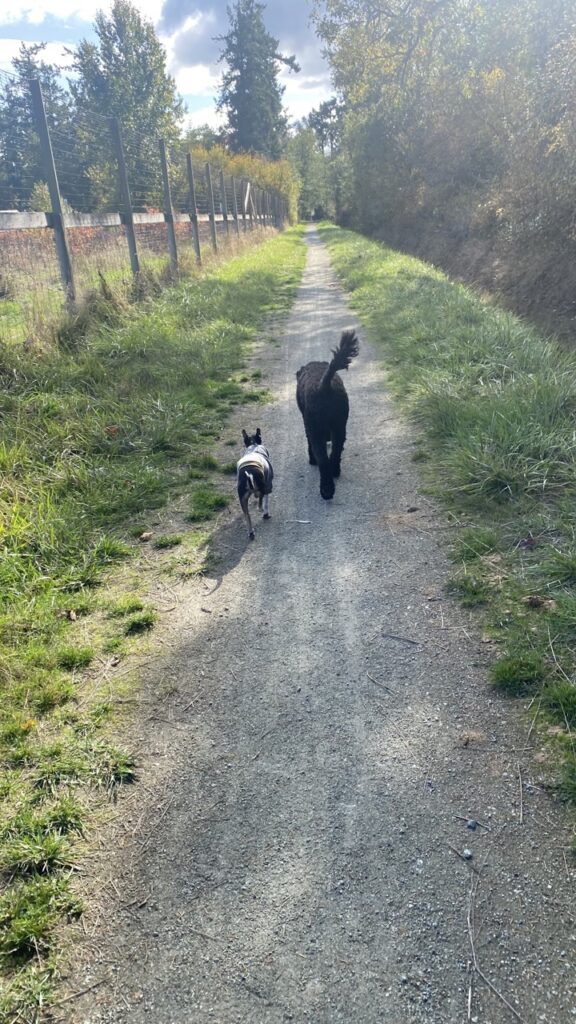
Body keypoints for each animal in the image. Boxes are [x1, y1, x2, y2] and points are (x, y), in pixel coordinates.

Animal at [295, 327, 358, 499]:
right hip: (340, 426)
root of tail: (325, 386)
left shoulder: (308, 425)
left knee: (322, 459)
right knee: (336, 451)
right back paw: (335, 471)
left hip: (315, 428)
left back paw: (326, 489)